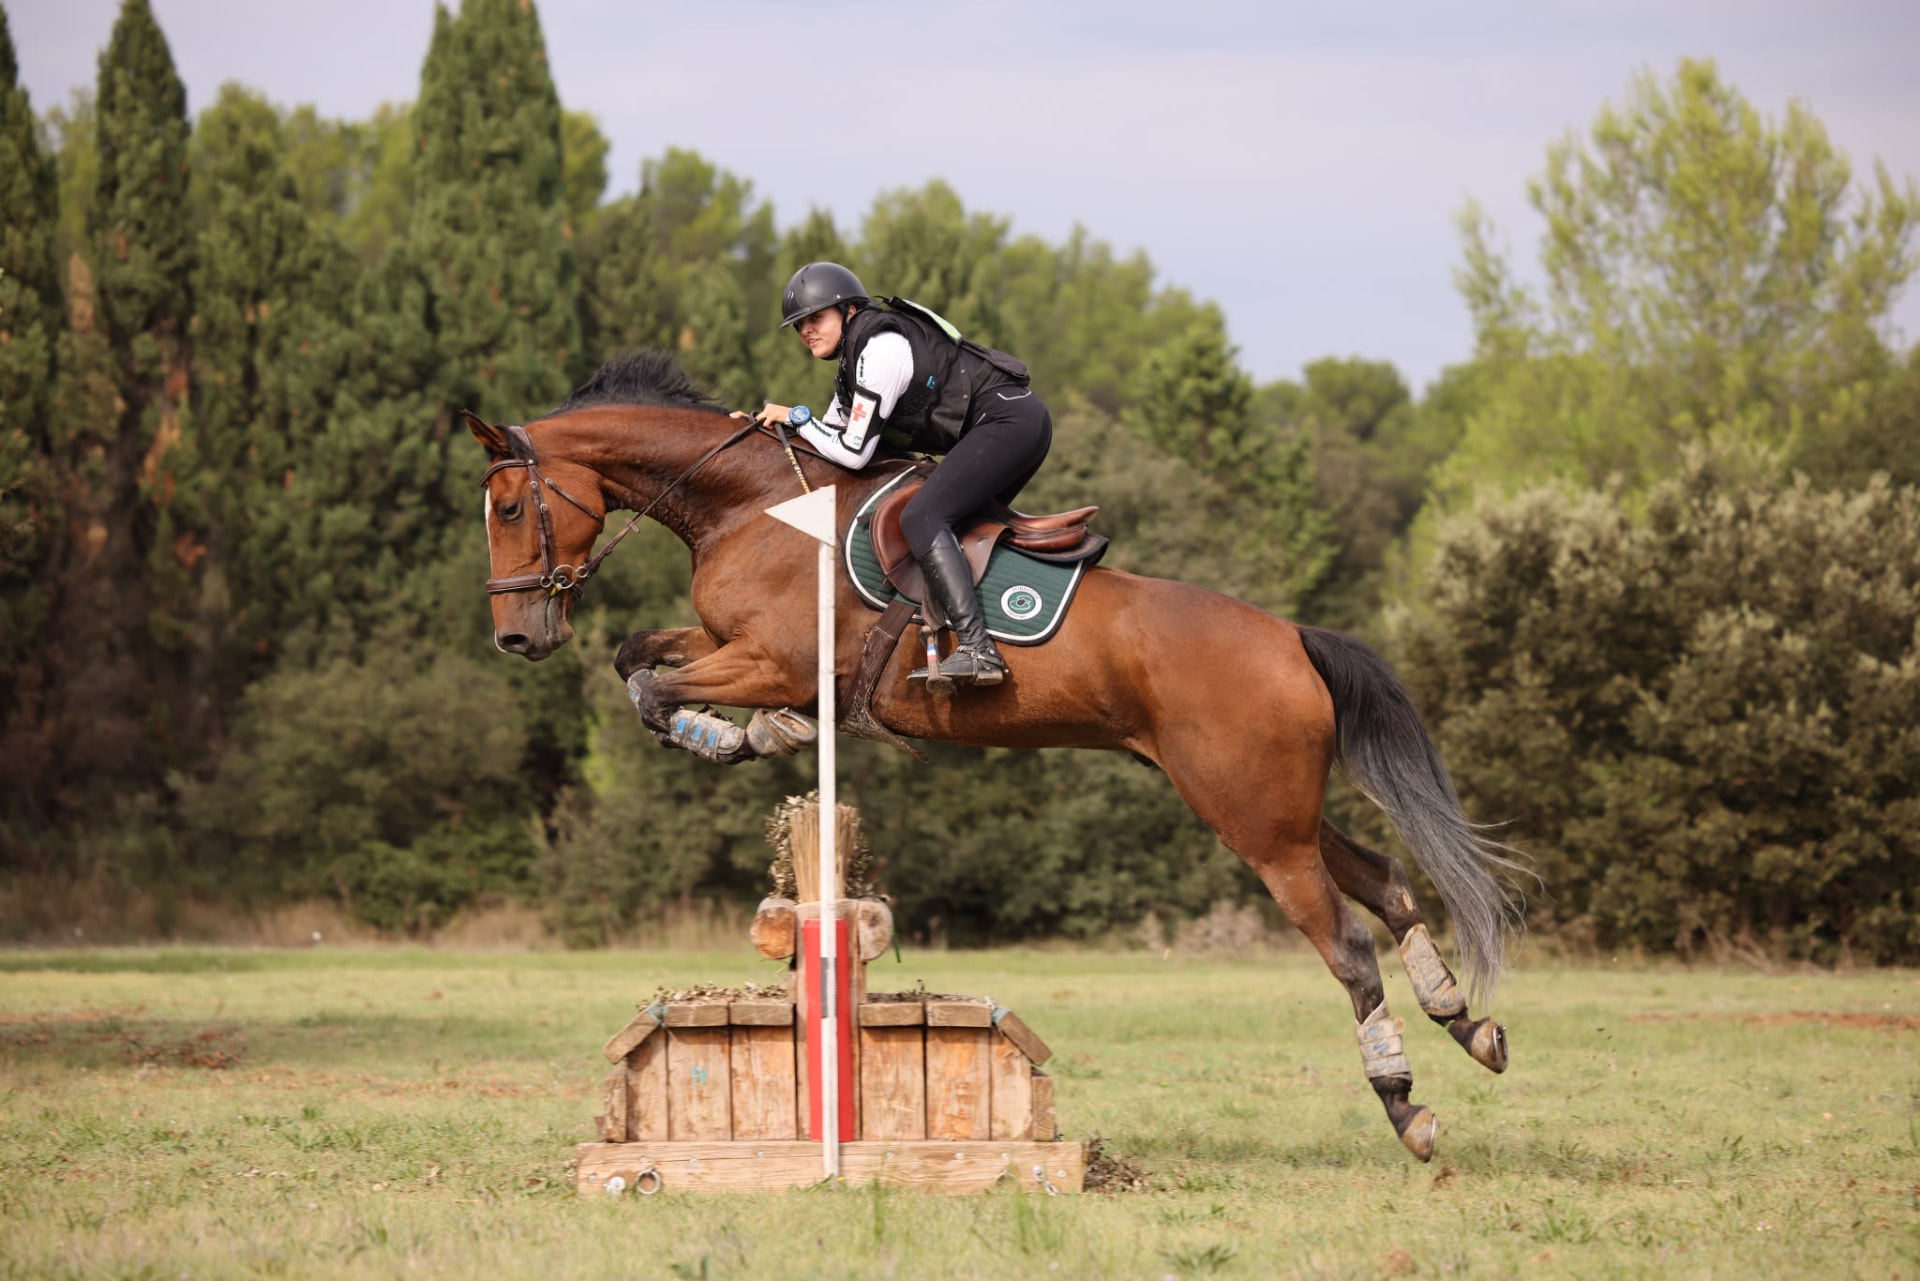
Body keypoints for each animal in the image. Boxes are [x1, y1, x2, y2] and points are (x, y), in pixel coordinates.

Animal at [468, 350, 1522, 1162]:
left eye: (512, 506)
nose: (517, 637)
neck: (751, 506)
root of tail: (1291, 636)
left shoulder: (771, 657)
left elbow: (658, 689)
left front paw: (742, 734)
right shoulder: (730, 644)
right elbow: (636, 658)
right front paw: (758, 732)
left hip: (1256, 822)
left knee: (1345, 942)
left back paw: (1407, 1105)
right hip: (1269, 806)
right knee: (1386, 880)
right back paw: (1468, 1024)